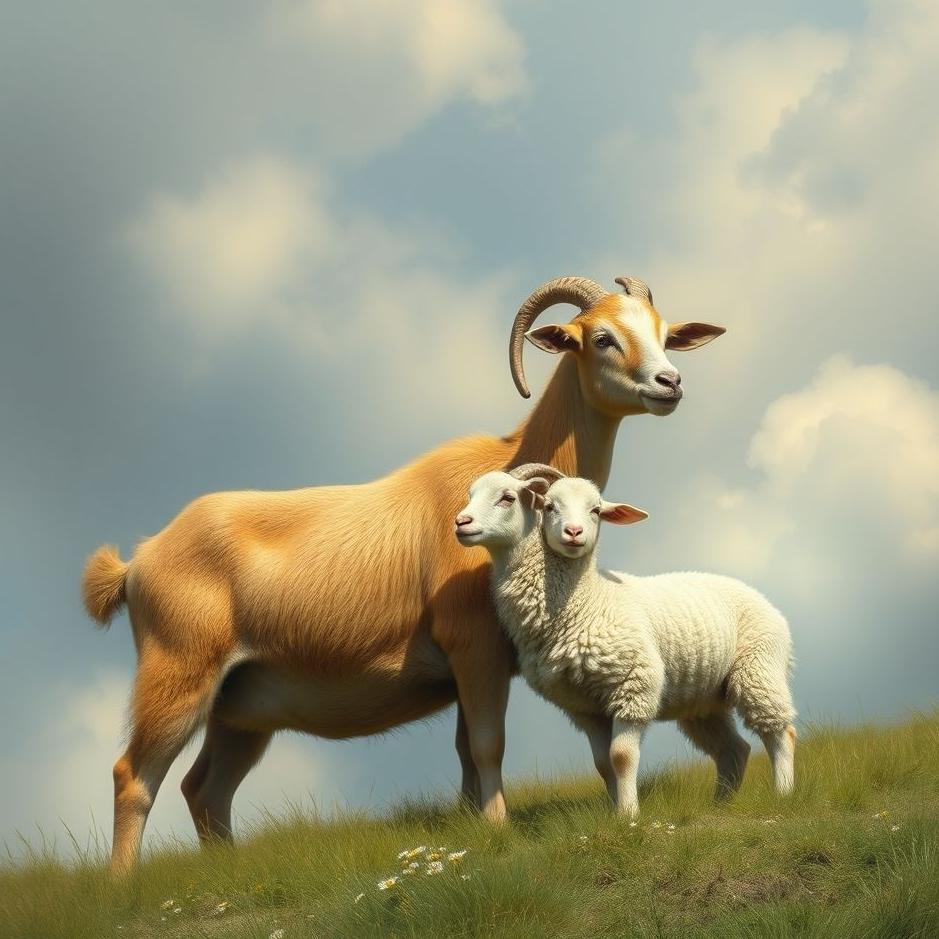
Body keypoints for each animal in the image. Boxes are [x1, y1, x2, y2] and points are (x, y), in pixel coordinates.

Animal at [81, 274, 725, 873]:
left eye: (663, 332)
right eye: (602, 337)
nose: (670, 383)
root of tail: (138, 559)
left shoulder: (473, 670)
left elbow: (467, 751)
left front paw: (472, 823)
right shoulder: (475, 646)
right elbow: (488, 745)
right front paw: (497, 828)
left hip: (241, 706)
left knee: (205, 789)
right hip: (178, 671)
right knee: (133, 777)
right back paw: (123, 888)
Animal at [455, 468, 796, 816]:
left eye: (507, 497)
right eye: (549, 506)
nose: (574, 532)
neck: (587, 600)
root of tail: (764, 600)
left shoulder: (634, 686)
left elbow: (621, 757)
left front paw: (629, 815)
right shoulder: (584, 707)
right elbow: (603, 763)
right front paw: (613, 811)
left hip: (759, 670)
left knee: (780, 731)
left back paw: (783, 794)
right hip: (703, 700)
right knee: (734, 749)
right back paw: (721, 804)